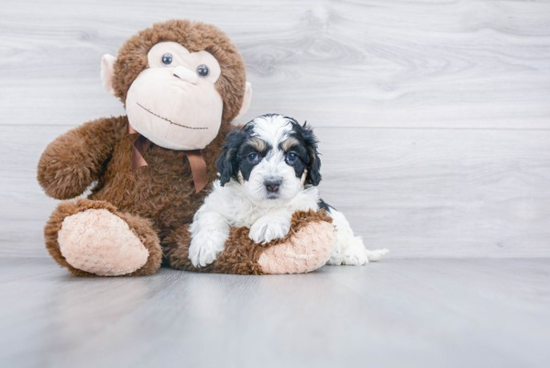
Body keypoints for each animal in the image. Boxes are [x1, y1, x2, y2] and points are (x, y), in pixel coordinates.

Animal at [190, 113, 388, 266]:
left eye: (292, 156)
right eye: (252, 156)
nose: (272, 183)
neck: (261, 206)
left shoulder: (309, 203)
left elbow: (291, 206)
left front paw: (267, 223)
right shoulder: (217, 202)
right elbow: (211, 216)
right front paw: (203, 247)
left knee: (354, 242)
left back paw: (351, 254)